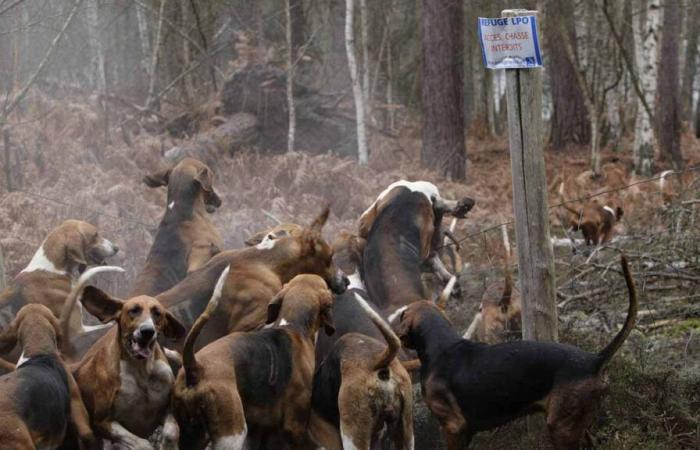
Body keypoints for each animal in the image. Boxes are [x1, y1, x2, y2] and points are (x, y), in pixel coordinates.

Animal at [172, 272, 330, 448]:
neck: (293, 325)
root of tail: (194, 365)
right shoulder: (295, 427)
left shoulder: (257, 430)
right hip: (232, 435)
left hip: (193, 434)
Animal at [396, 256, 636, 450]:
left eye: (402, 315)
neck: (441, 347)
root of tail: (594, 360)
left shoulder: (454, 427)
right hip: (578, 426)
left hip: (561, 428)